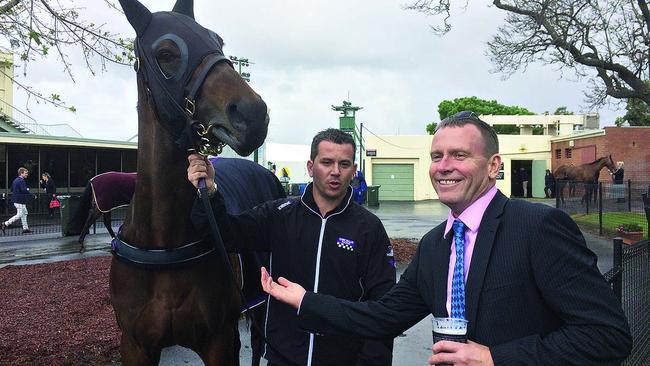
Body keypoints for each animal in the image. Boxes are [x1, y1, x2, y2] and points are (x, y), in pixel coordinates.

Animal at [110, 1, 268, 364]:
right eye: (166, 53)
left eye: (218, 42)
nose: (253, 114)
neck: (164, 244)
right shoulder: (136, 345)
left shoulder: (218, 341)